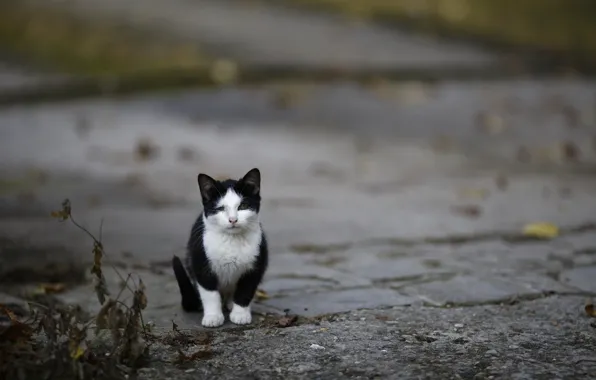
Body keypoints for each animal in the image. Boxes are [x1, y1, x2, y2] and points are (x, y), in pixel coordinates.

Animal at [170, 168, 268, 328]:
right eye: (221, 209)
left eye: (242, 206)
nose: (233, 220)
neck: (231, 240)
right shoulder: (201, 264)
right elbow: (210, 293)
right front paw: (213, 316)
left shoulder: (256, 264)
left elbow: (245, 290)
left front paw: (240, 314)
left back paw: (230, 303)